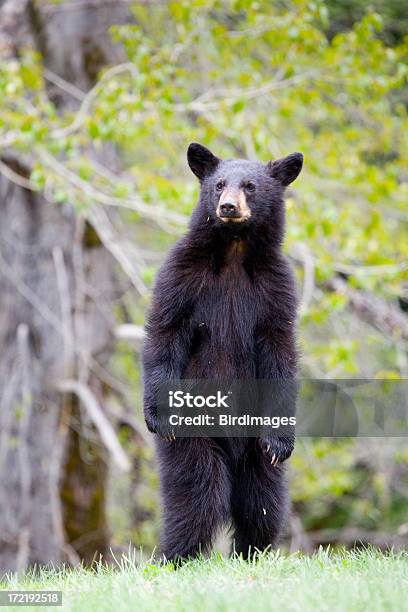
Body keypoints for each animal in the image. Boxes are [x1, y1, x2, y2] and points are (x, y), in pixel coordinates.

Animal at [142, 142, 302, 560]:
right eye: (218, 185)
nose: (228, 206)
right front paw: (157, 415)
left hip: (253, 444)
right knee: (198, 492)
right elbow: (166, 332)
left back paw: (254, 552)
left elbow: (280, 350)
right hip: (197, 427)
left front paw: (281, 441)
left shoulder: (276, 288)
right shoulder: (180, 275)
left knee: (262, 499)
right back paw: (177, 555)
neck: (234, 250)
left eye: (250, 186)